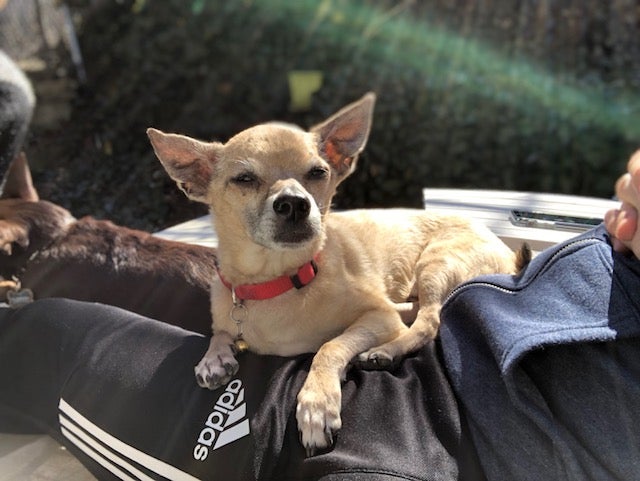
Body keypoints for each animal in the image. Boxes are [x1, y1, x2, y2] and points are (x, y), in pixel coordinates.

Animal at [148, 93, 528, 454]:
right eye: (244, 179)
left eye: (318, 172)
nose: (295, 203)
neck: (277, 280)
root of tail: (507, 250)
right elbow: (220, 332)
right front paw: (214, 357)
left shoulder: (378, 317)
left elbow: (330, 346)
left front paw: (317, 404)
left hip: (436, 263)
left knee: (429, 320)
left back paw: (387, 350)